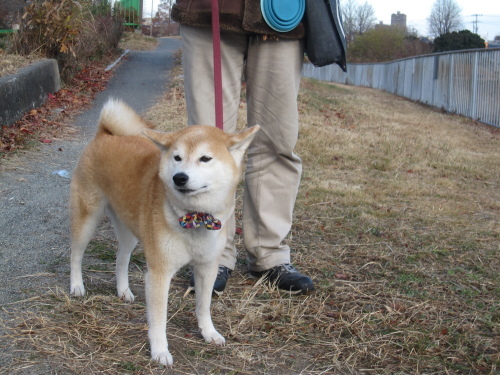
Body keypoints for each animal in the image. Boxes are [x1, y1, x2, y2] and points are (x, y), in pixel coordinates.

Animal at [69, 100, 260, 368]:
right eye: (177, 157)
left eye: (205, 158)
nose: (179, 177)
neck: (195, 218)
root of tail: (105, 134)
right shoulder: (160, 273)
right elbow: (159, 319)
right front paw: (160, 351)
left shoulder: (208, 267)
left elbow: (204, 305)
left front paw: (209, 333)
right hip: (88, 217)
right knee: (76, 254)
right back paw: (77, 286)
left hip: (130, 229)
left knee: (121, 258)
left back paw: (123, 291)